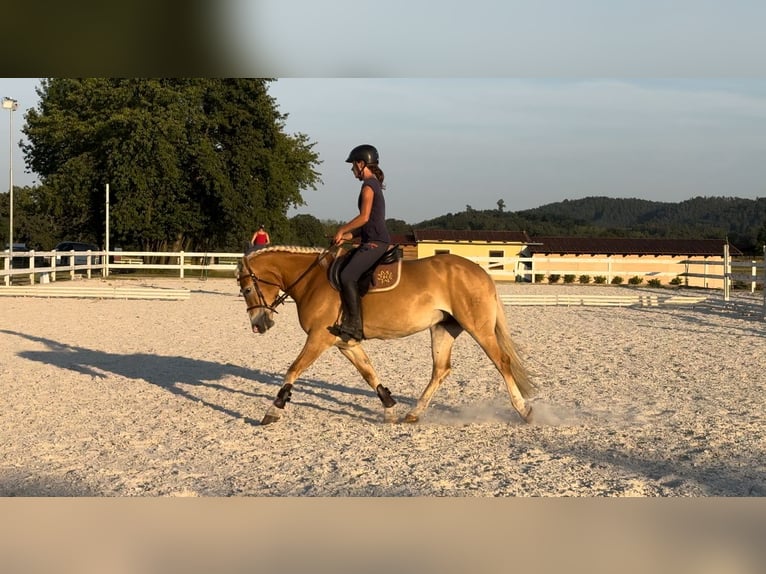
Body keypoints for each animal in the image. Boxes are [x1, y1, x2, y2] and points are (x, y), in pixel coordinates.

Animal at [237, 245, 536, 426]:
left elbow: (293, 369)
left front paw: (273, 410)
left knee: (502, 362)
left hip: (478, 327)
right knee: (440, 370)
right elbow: (369, 373)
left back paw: (524, 410)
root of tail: (481, 272)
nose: (259, 325)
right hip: (443, 328)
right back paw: (412, 414)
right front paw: (390, 407)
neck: (312, 281)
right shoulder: (345, 343)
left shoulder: (318, 338)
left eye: (247, 289)